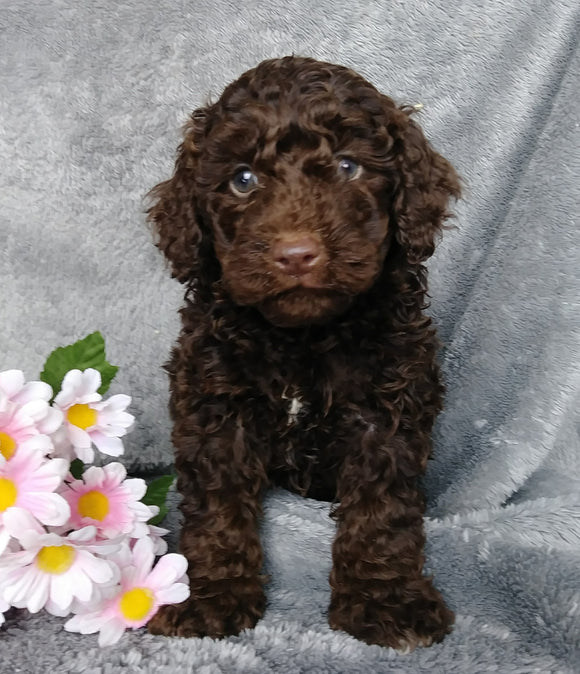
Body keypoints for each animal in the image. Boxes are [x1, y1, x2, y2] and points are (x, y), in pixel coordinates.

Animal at [148, 56, 462, 644]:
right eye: (243, 179)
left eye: (347, 167)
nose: (297, 255)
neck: (302, 337)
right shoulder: (215, 407)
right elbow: (218, 507)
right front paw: (210, 595)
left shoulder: (385, 410)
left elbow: (382, 510)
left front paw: (386, 600)